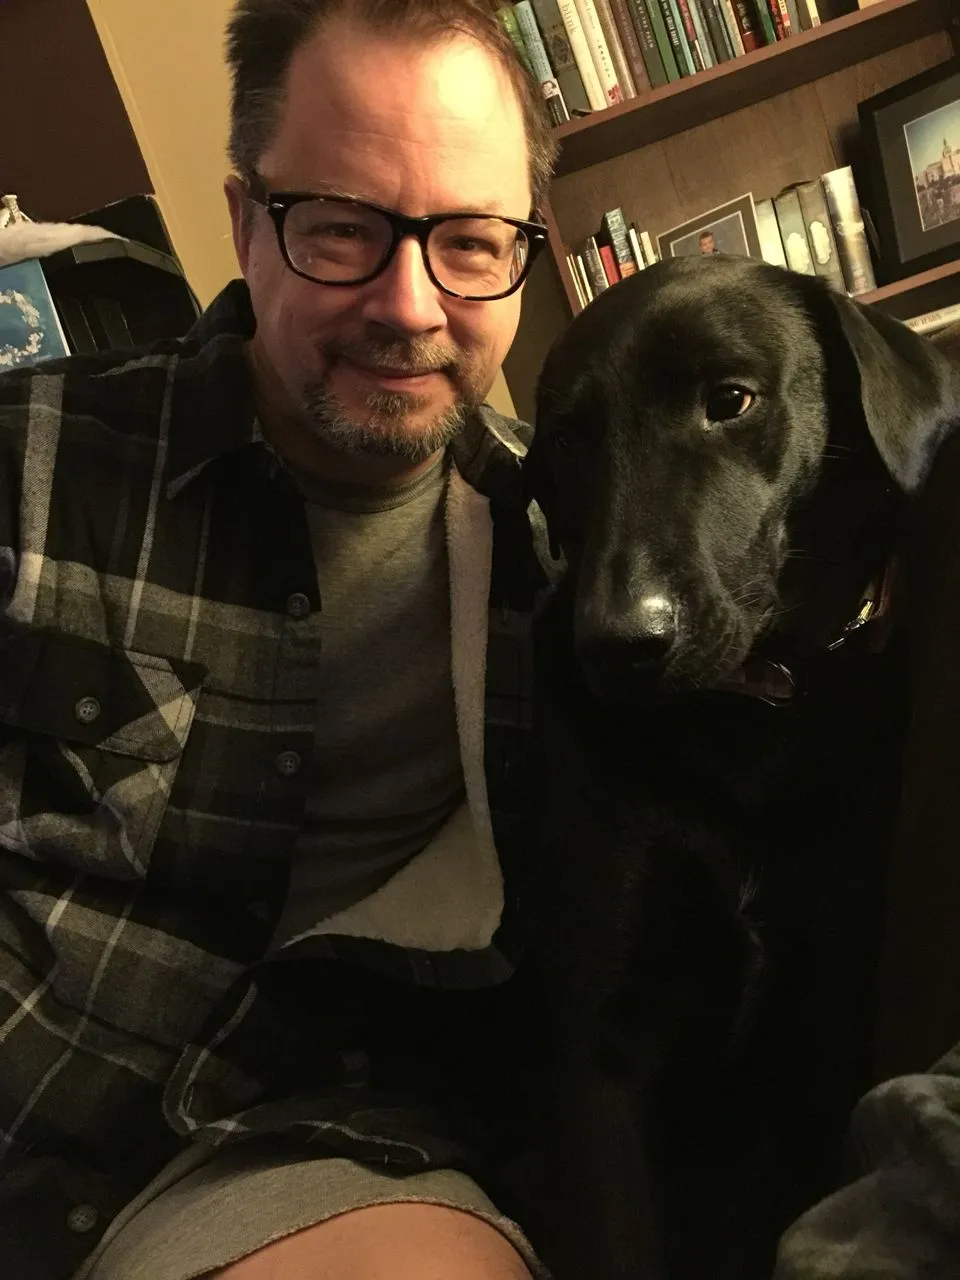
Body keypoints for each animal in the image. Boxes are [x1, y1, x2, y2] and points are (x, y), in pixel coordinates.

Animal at [522, 254, 960, 1280]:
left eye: (730, 400)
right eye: (562, 447)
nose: (617, 646)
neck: (744, 718)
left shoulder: (822, 1000)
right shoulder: (598, 1048)